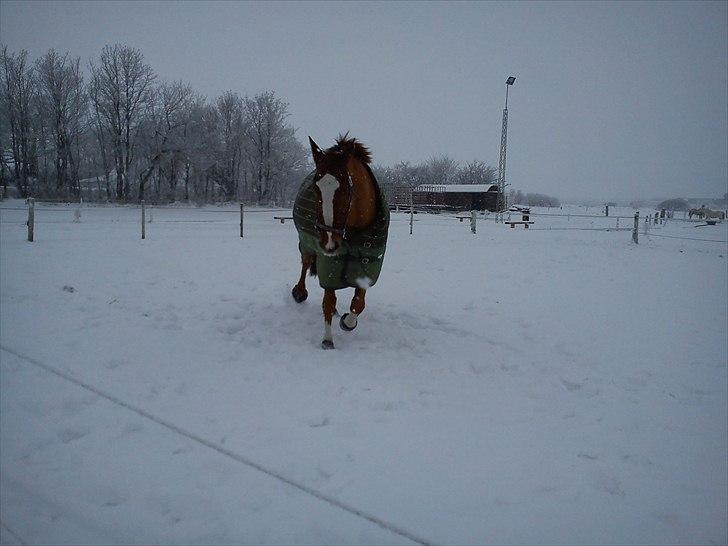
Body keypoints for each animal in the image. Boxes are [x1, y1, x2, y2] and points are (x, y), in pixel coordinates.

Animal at [292, 135, 390, 348]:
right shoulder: (330, 264)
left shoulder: (367, 264)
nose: (329, 242)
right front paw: (327, 339)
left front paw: (347, 322)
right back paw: (299, 292)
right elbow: (328, 301)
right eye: (315, 187)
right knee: (305, 264)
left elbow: (358, 304)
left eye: (346, 187)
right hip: (307, 244)